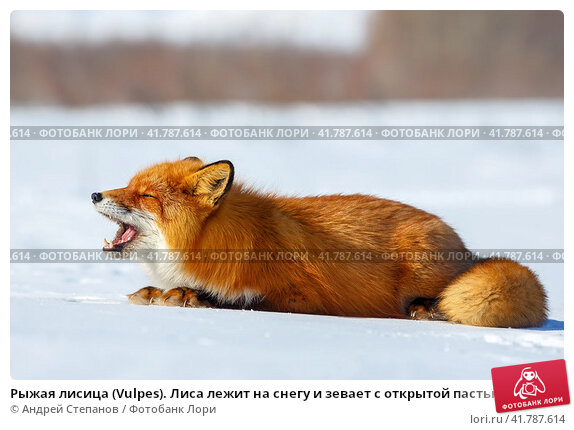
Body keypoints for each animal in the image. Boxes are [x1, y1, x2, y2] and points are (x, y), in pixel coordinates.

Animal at [93, 156, 548, 328]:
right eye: (129, 186)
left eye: (145, 196)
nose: (95, 194)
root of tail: (466, 249)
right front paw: (160, 293)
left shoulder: (302, 296)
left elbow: (242, 300)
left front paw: (191, 296)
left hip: (421, 265)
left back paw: (427, 309)